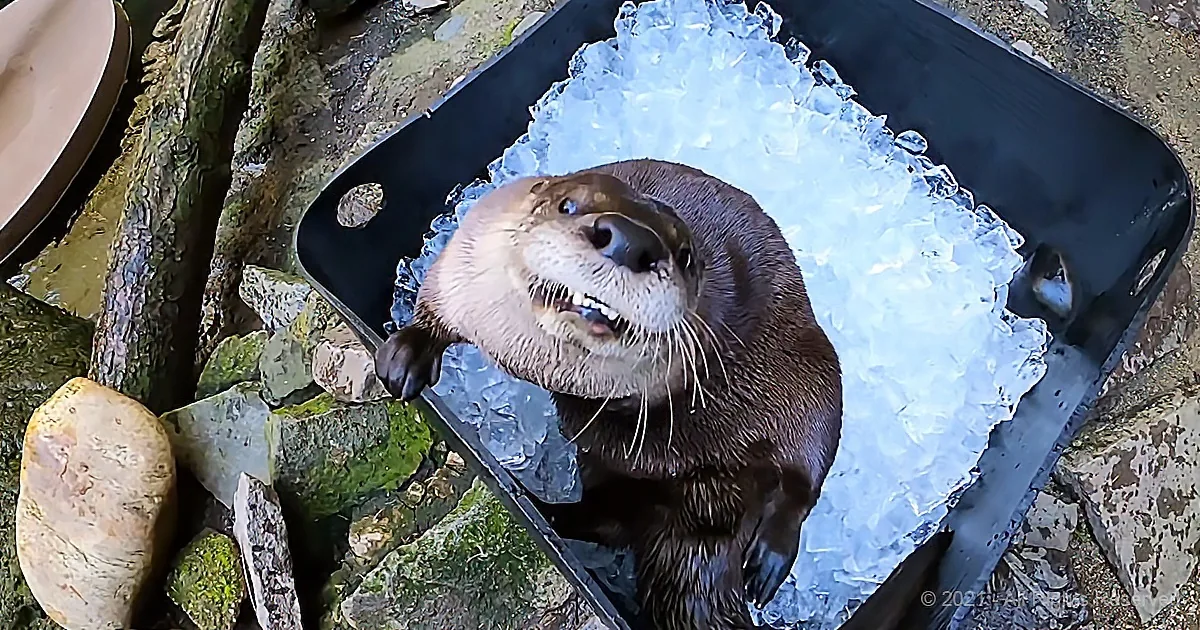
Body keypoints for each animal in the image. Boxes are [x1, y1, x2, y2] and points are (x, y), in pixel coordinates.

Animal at [376, 158, 843, 630]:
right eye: (567, 205)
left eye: (686, 255)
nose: (631, 242)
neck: (537, 363)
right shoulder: (466, 264)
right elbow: (433, 304)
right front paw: (405, 356)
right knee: (606, 519)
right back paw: (541, 506)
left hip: (815, 374)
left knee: (806, 470)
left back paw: (769, 556)